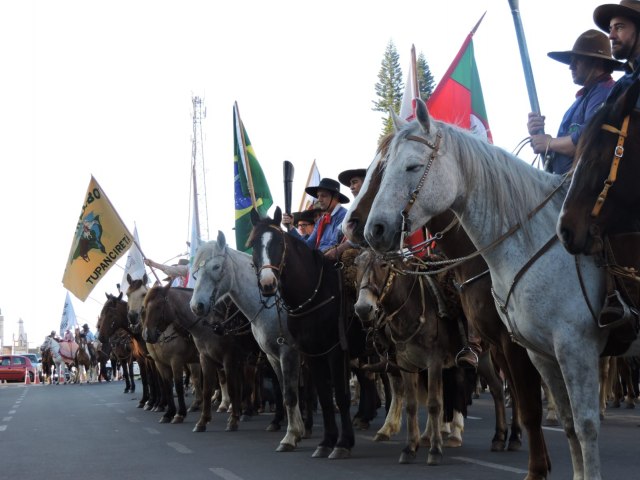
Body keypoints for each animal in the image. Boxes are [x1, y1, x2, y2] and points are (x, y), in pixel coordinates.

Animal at [190, 231, 304, 452]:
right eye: (195, 273)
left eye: (216, 267)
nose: (196, 306)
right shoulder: (272, 356)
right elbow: (285, 390)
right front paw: (296, 430)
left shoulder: (288, 353)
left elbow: (289, 392)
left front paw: (291, 435)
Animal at [364, 98, 640, 480]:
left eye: (412, 166)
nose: (373, 230)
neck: (530, 238)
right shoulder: (538, 351)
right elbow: (559, 420)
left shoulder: (573, 348)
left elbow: (582, 425)